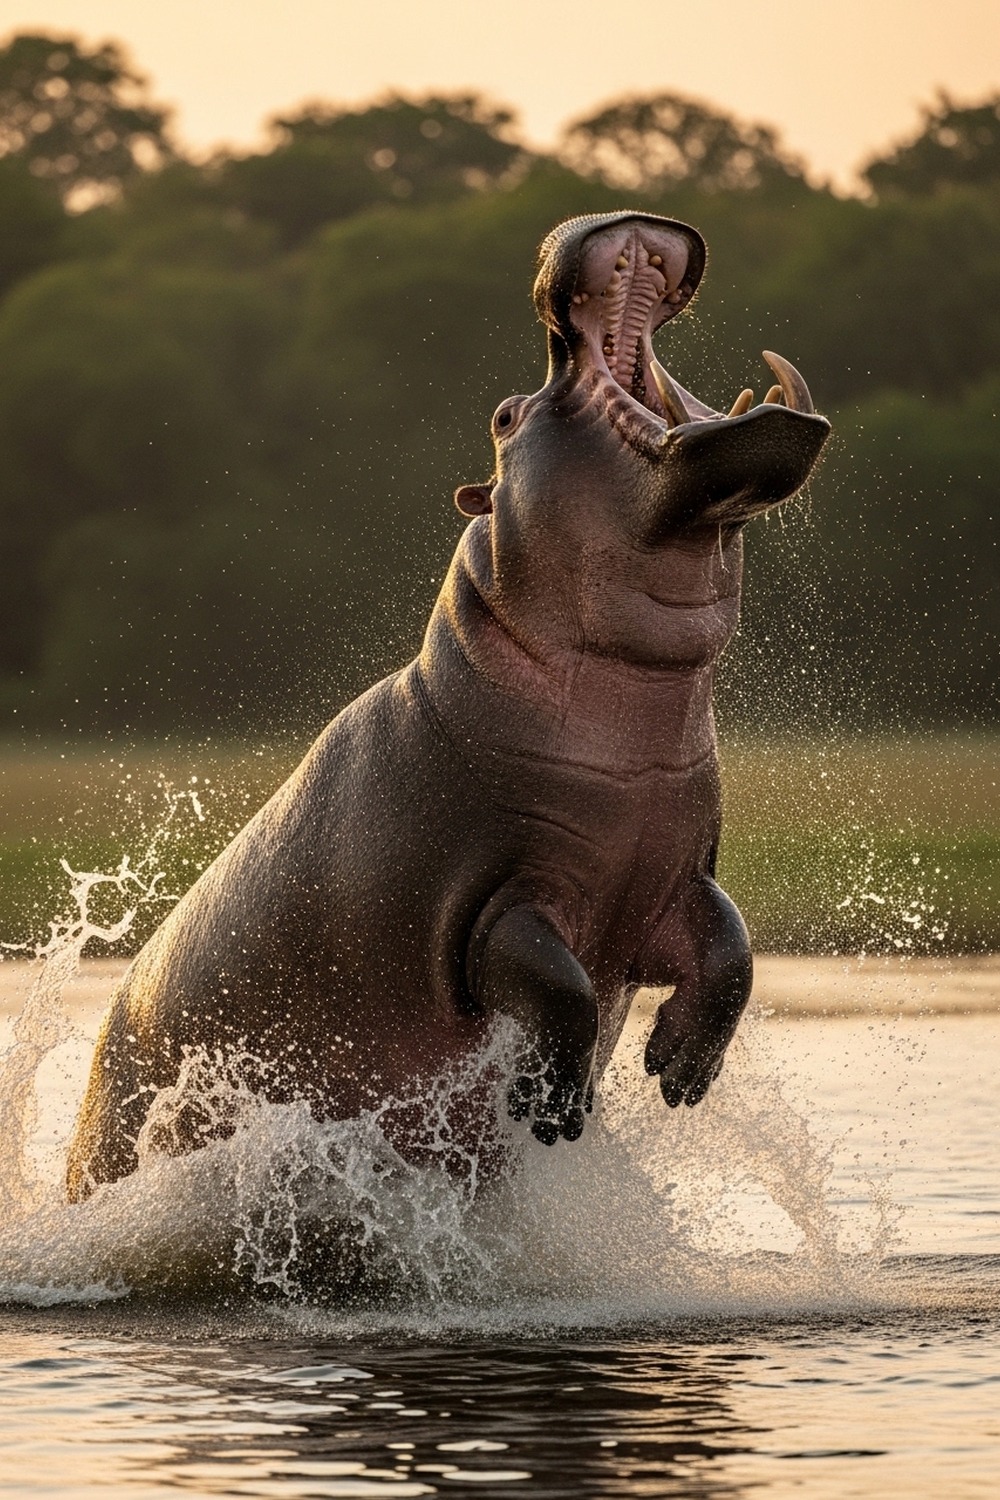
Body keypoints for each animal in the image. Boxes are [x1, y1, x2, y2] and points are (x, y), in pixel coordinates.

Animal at [67, 211, 830, 1201]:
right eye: (504, 416)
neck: (632, 701)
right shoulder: (487, 898)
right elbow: (555, 983)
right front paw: (555, 1107)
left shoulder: (672, 876)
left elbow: (731, 947)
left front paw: (681, 1073)